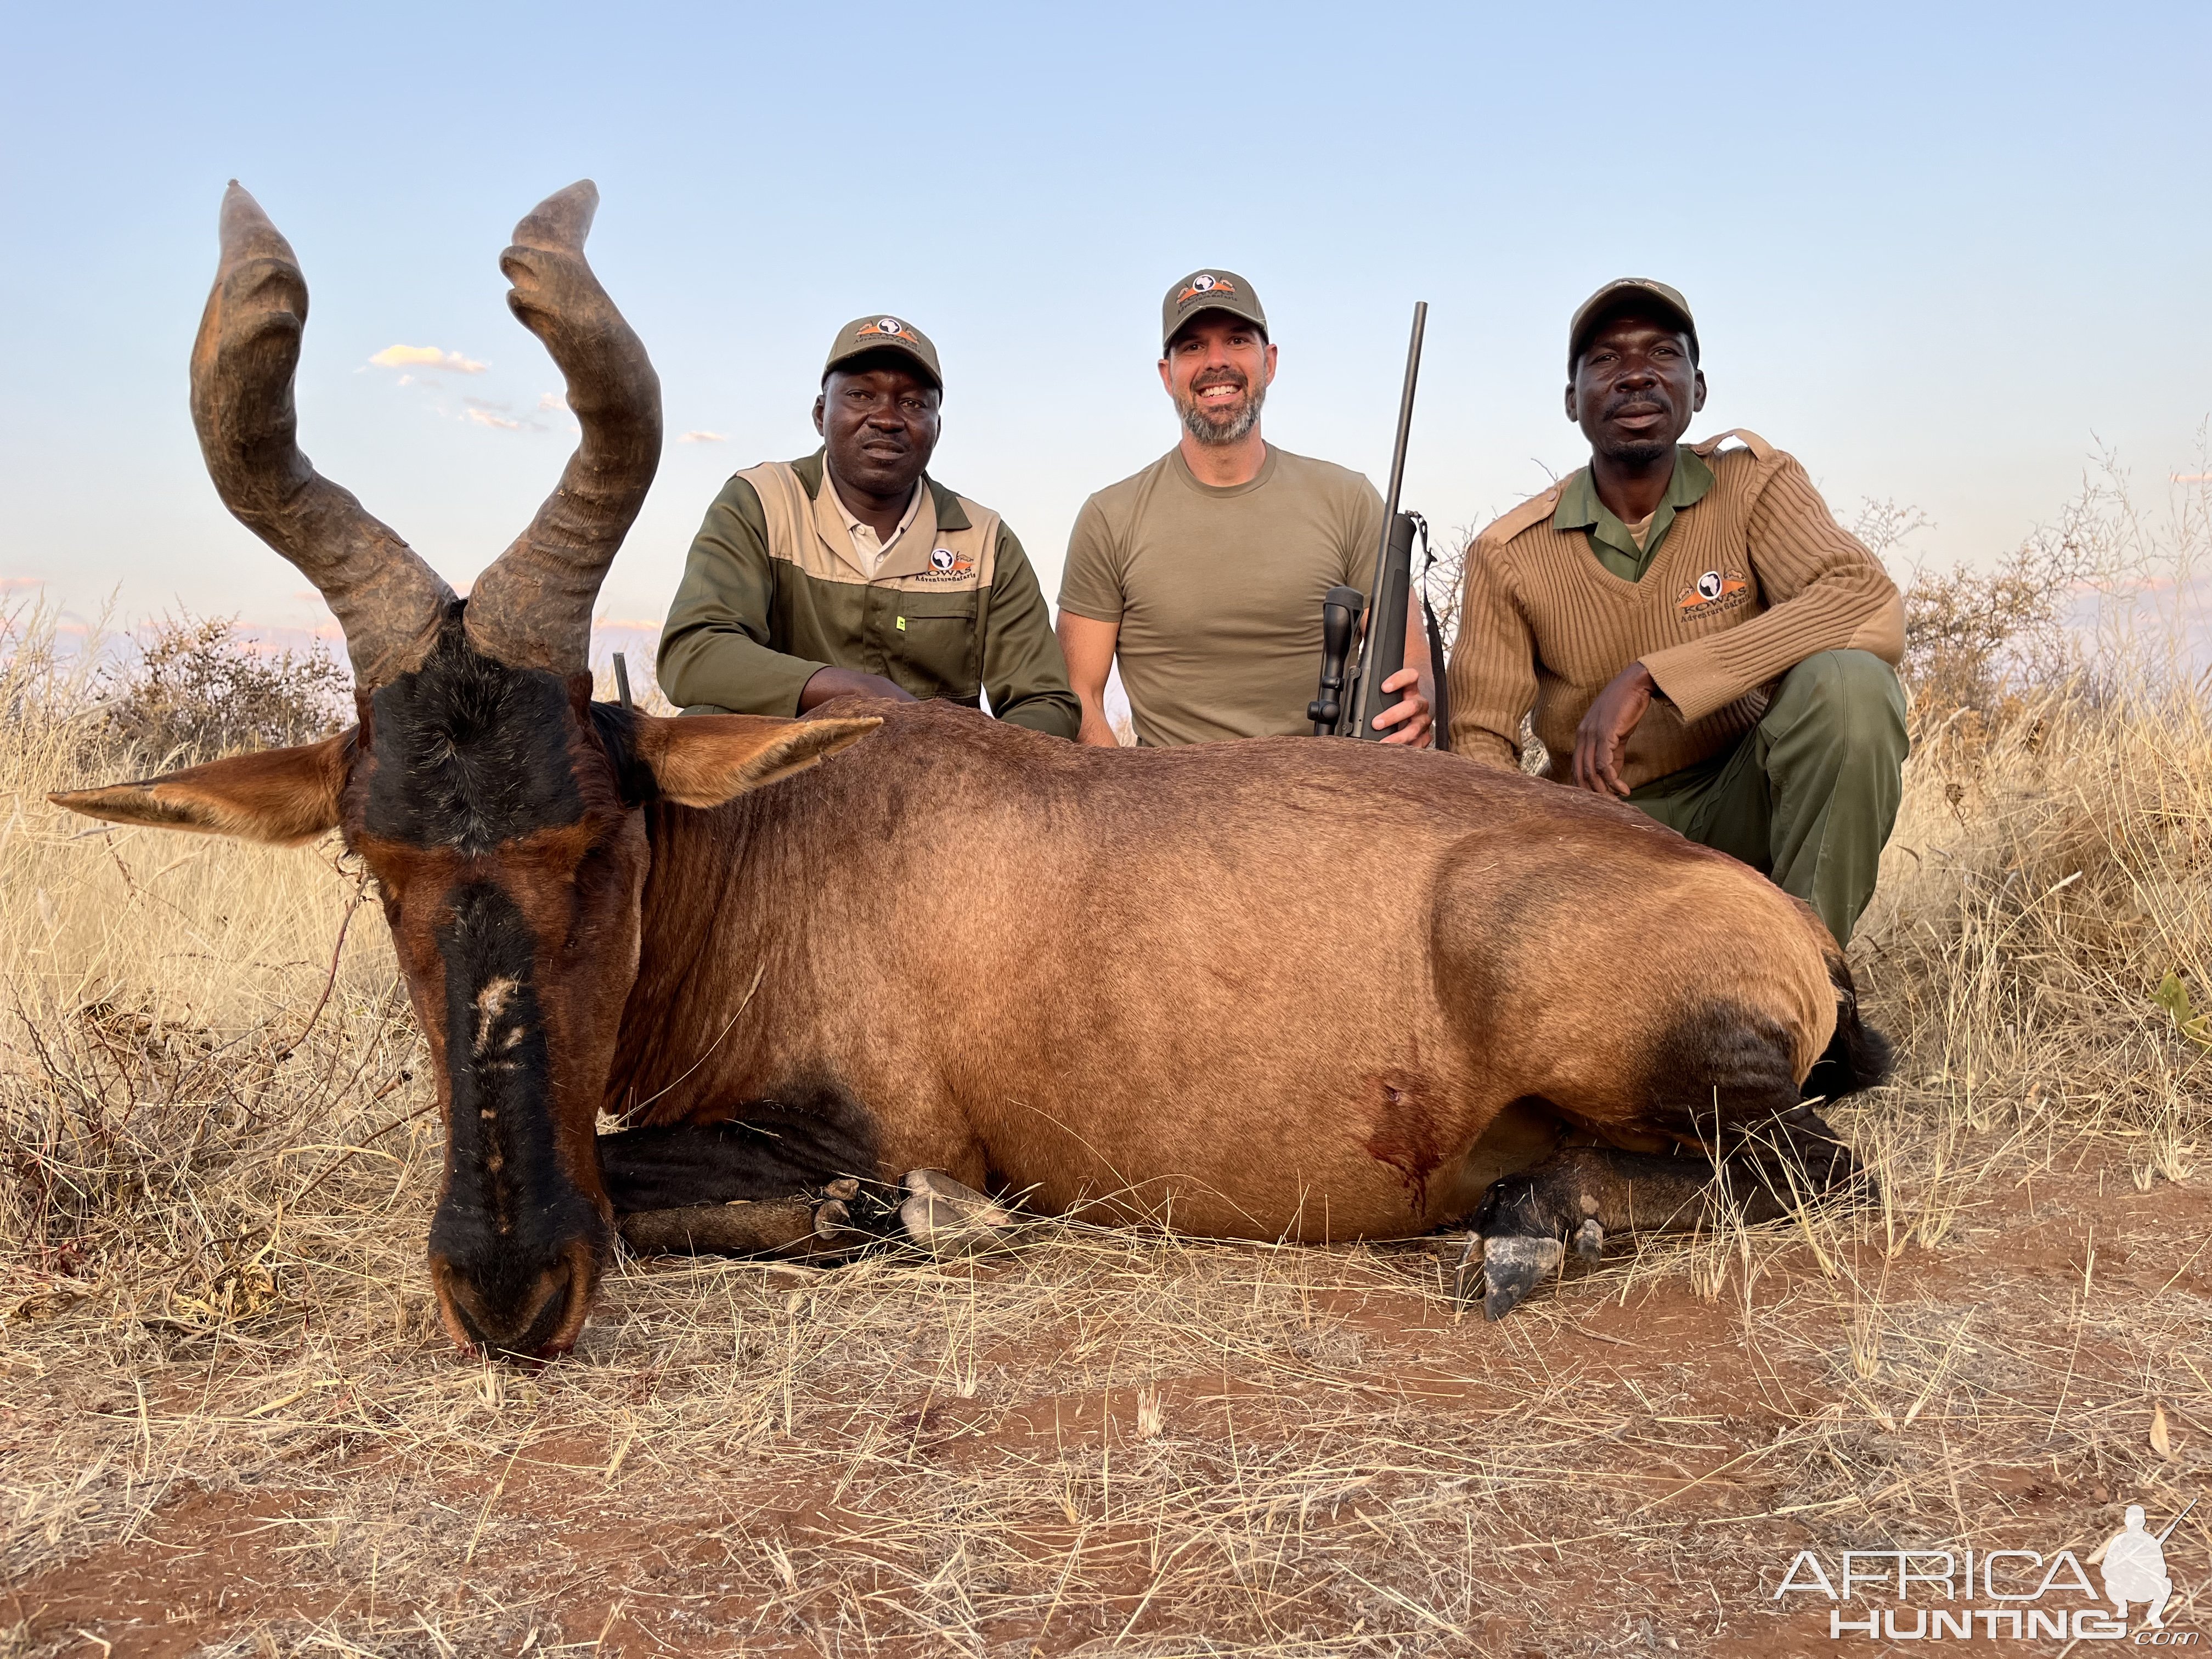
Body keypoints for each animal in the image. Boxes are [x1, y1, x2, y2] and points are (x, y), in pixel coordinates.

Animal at [52, 181, 1884, 1353]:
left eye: (602, 837)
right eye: (379, 862)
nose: (510, 1293)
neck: (798, 835)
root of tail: (1789, 930)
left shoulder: (875, 1123)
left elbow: (713, 1181)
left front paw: (917, 1223)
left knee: (1819, 1169)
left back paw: (1524, 1228)